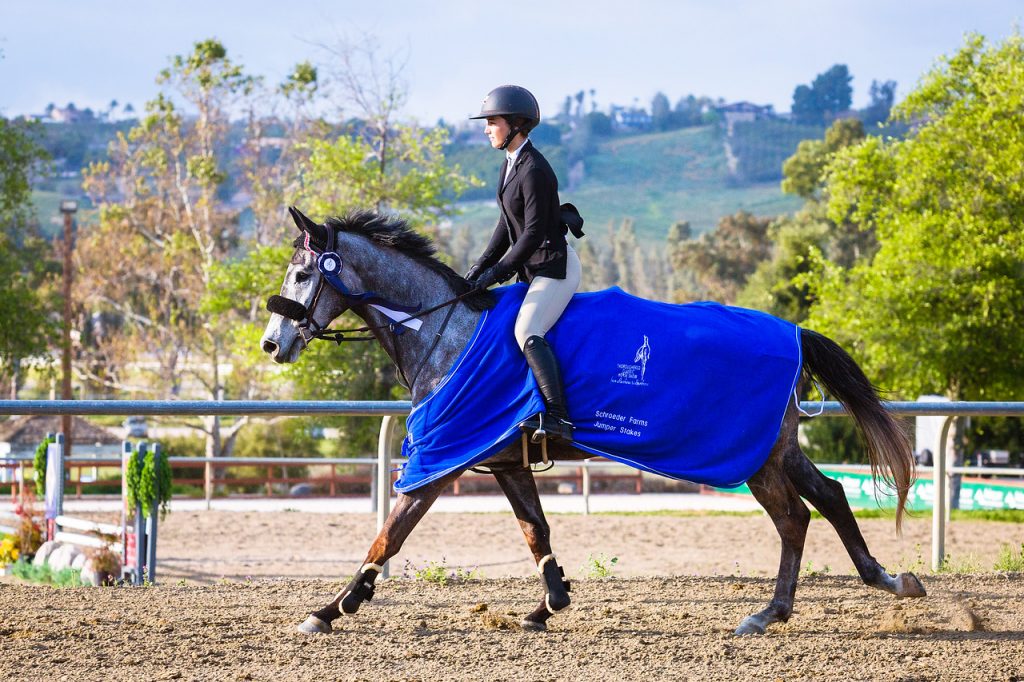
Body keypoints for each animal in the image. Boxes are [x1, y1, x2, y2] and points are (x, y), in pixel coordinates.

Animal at [258, 205, 929, 630]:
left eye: (301, 273)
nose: (271, 345)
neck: (445, 329)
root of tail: (793, 332)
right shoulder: (503, 460)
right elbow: (536, 531)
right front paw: (547, 605)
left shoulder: (443, 459)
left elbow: (389, 532)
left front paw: (330, 609)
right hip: (778, 447)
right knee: (831, 495)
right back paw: (888, 580)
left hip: (758, 456)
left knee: (794, 517)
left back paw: (770, 613)